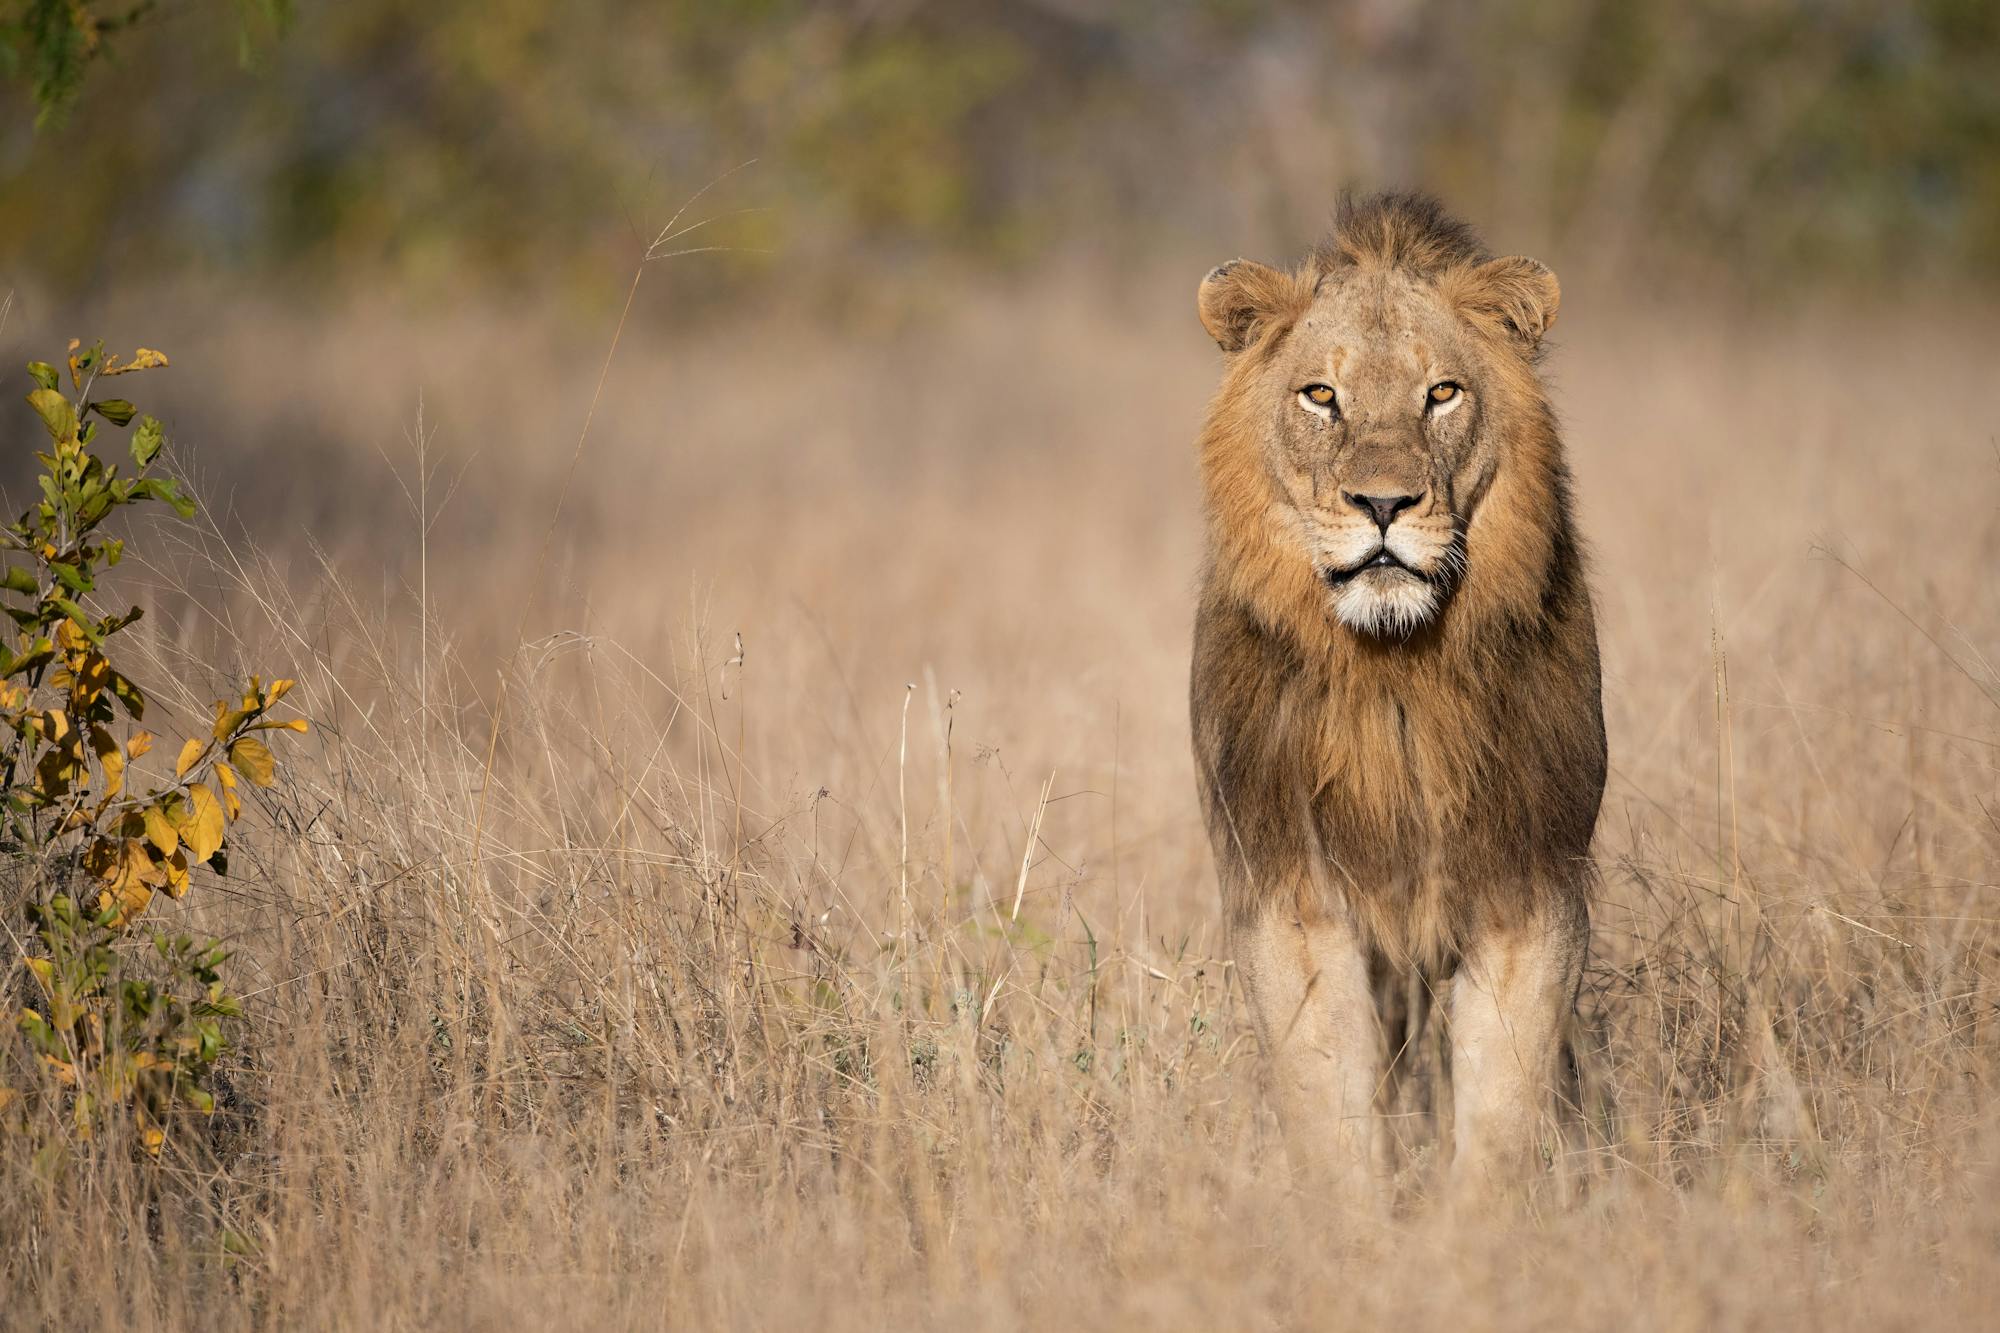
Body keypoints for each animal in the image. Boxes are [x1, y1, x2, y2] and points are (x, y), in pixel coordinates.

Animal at [1184, 189, 1608, 1200]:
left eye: (1441, 392)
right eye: (1321, 395)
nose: (1383, 505)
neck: (1395, 674)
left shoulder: (1530, 883)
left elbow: (1501, 1105)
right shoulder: (1292, 891)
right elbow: (1330, 1106)